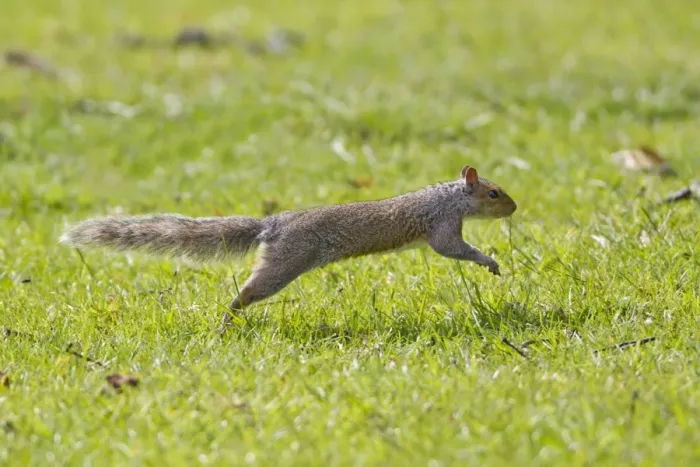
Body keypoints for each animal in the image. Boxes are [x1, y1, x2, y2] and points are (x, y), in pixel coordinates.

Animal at [60, 165, 517, 327]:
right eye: (493, 193)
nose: (515, 208)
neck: (449, 197)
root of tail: (273, 226)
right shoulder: (441, 225)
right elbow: (453, 250)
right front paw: (489, 262)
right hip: (285, 262)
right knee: (246, 293)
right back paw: (228, 319)